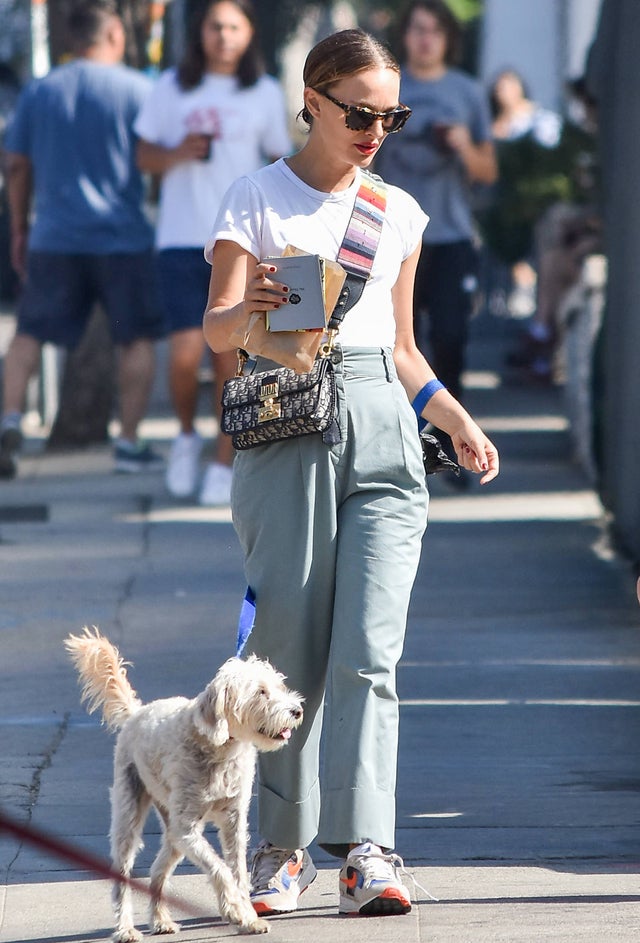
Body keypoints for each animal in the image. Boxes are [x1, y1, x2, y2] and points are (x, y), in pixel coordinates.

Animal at [65, 632, 304, 940]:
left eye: (279, 686)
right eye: (261, 692)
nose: (297, 710)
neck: (219, 746)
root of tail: (137, 713)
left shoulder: (232, 823)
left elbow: (237, 872)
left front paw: (248, 918)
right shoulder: (187, 829)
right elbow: (221, 870)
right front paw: (234, 911)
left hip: (173, 835)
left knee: (158, 870)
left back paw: (160, 919)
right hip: (131, 820)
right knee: (123, 878)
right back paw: (125, 929)